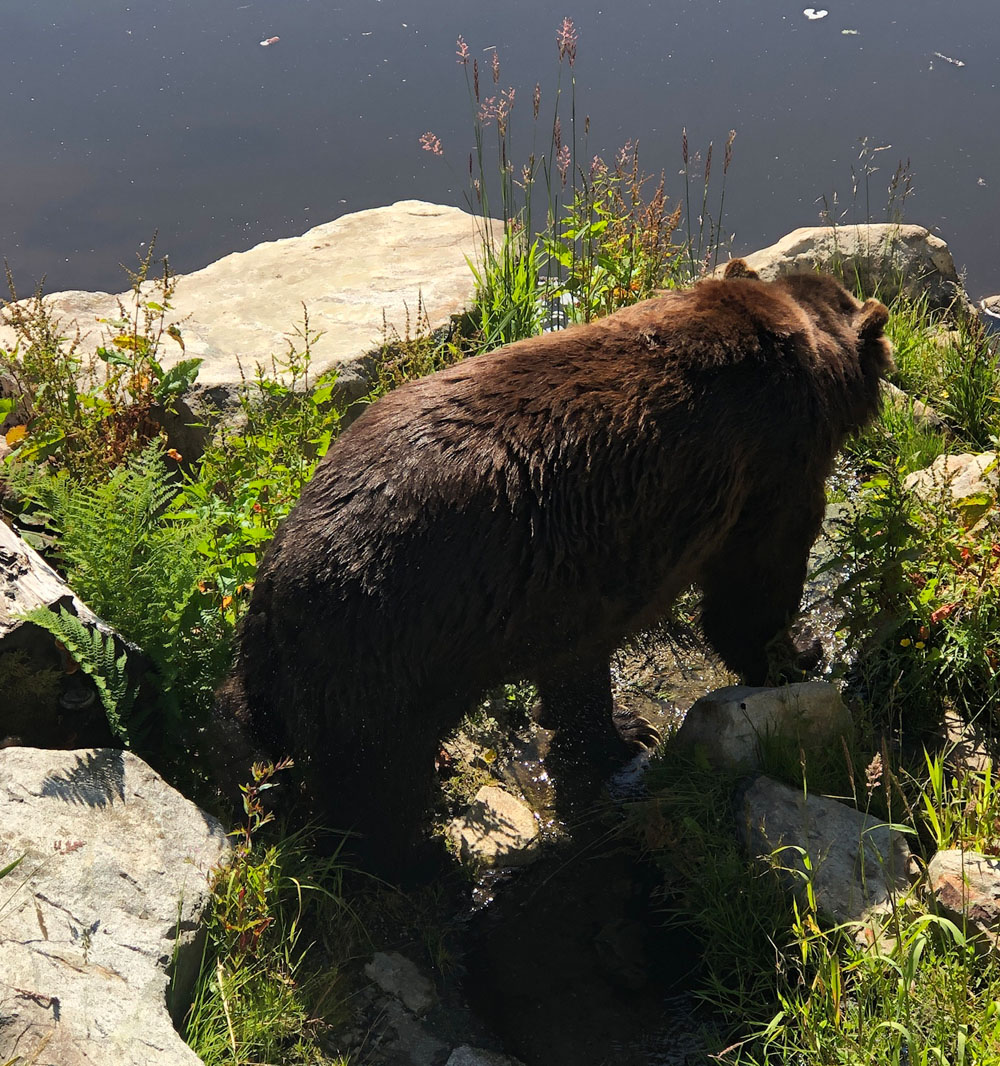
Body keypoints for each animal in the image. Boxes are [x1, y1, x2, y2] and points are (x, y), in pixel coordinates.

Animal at [218, 261, 892, 875]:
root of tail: (278, 588)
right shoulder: (770, 464)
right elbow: (755, 584)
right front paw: (797, 653)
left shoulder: (575, 587)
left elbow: (574, 668)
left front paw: (622, 728)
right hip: (387, 651)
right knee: (373, 782)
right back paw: (417, 859)